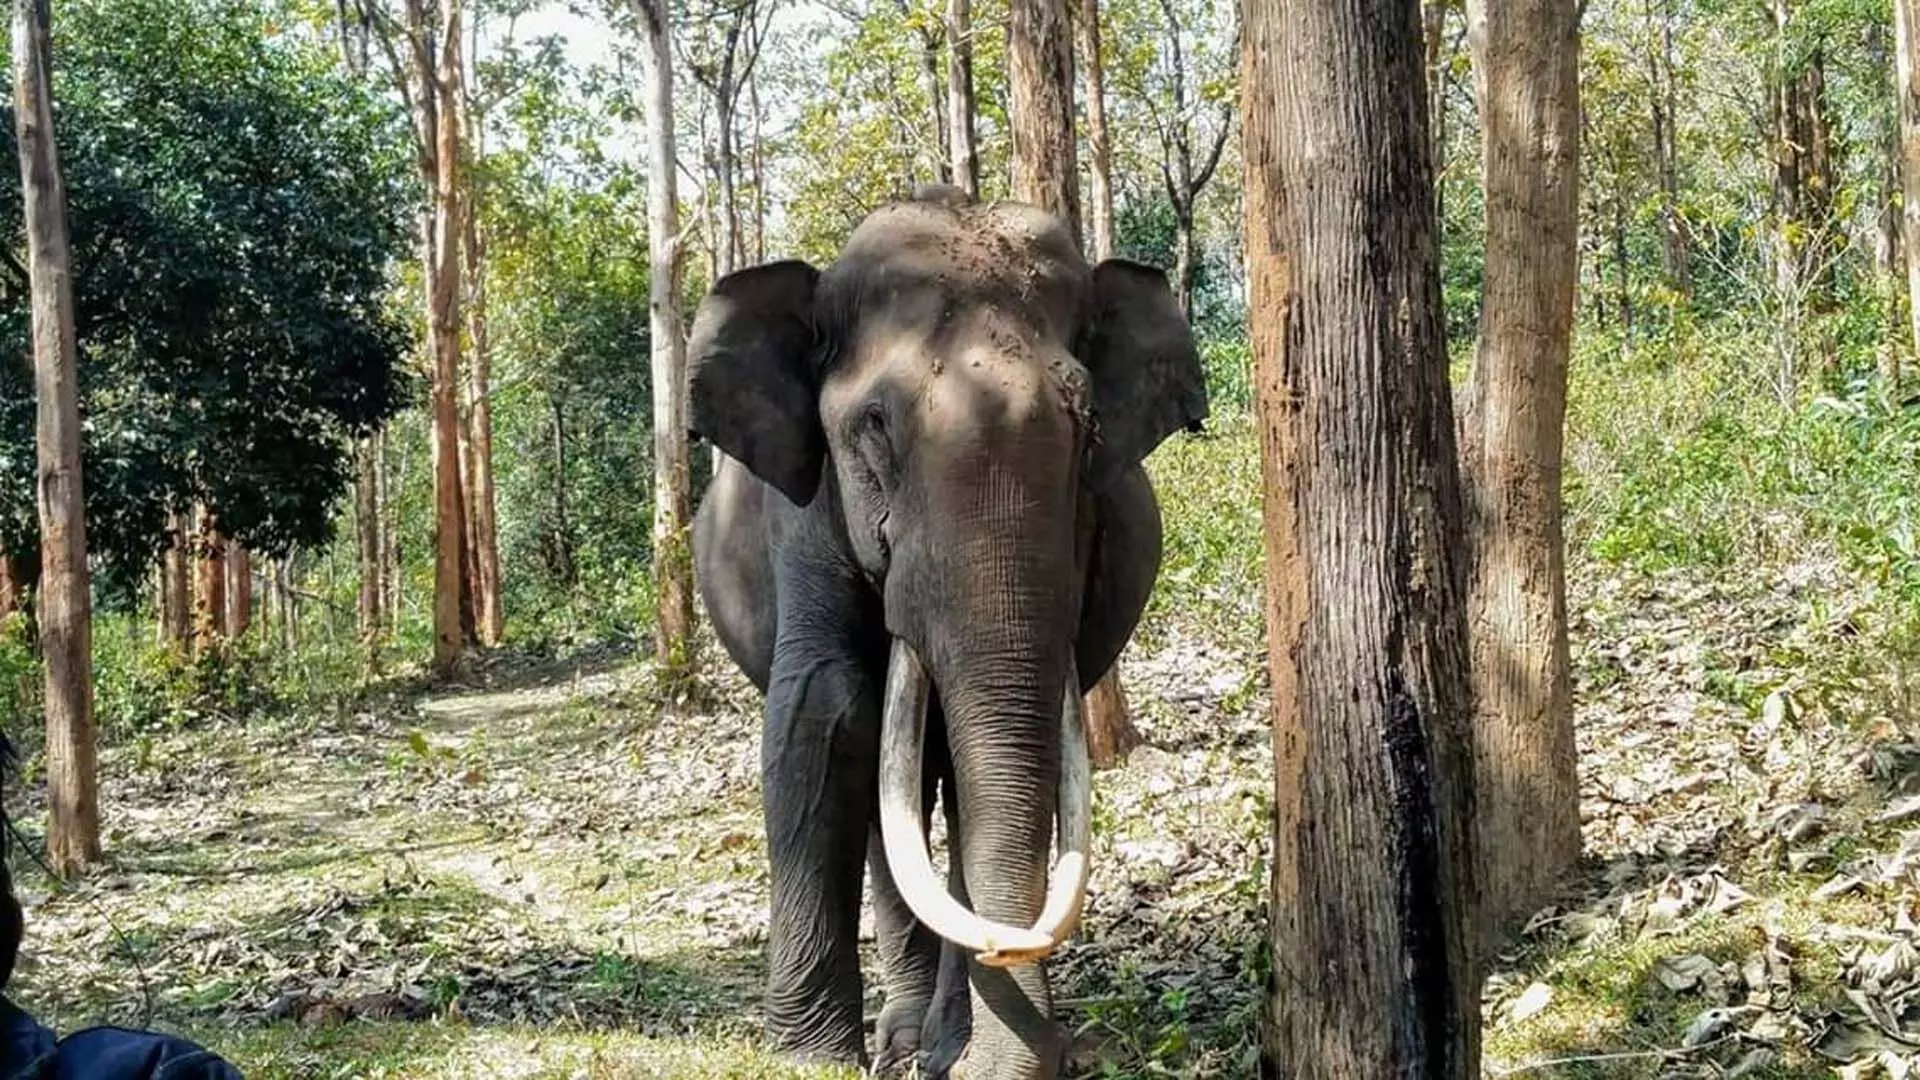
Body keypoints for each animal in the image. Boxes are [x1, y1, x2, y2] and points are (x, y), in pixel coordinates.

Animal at [687, 187, 1198, 1076]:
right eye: (875, 425)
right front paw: (810, 1057)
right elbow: (824, 712)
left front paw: (956, 1049)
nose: (1007, 946)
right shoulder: (805, 513)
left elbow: (978, 766)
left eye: (1090, 426)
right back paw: (898, 1041)